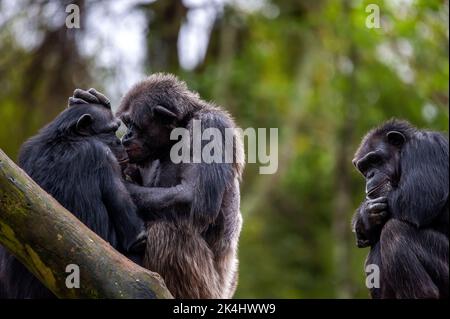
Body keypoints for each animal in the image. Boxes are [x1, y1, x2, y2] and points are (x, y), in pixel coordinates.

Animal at [71, 75, 244, 300]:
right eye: (126, 123)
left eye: (133, 123)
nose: (126, 136)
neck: (178, 134)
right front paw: (88, 100)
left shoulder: (210, 127)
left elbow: (193, 197)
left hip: (204, 288)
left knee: (166, 232)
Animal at [354, 119, 448, 300]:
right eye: (364, 168)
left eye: (374, 160)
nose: (370, 175)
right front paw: (365, 218)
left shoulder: (425, 147)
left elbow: (420, 196)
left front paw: (362, 218)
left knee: (395, 231)